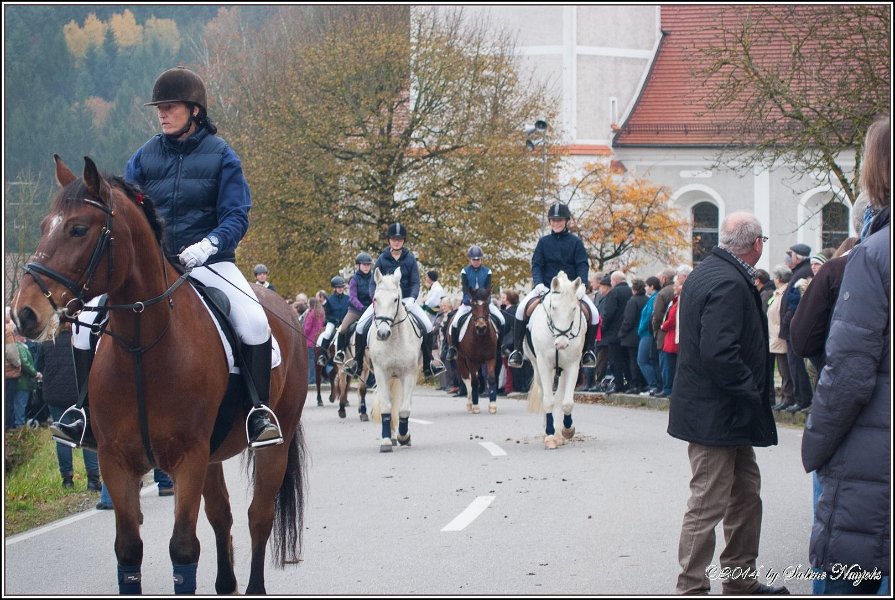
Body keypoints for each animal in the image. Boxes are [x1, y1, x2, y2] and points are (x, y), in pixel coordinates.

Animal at [10, 156, 310, 596]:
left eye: (78, 229)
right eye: (46, 224)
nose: (24, 313)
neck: (142, 347)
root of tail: (286, 309)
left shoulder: (188, 457)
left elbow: (183, 547)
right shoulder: (117, 459)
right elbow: (128, 549)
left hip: (275, 443)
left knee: (259, 516)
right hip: (212, 456)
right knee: (222, 515)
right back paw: (225, 582)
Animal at [368, 270, 424, 452]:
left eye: (395, 299)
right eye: (375, 299)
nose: (383, 333)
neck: (392, 341)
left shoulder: (409, 374)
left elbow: (404, 409)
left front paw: (404, 436)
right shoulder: (381, 373)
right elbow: (386, 407)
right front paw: (386, 441)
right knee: (391, 404)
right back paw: (392, 437)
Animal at [524, 272, 588, 450]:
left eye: (574, 309)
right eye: (553, 308)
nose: (562, 344)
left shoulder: (572, 366)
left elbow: (566, 402)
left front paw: (566, 430)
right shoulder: (544, 365)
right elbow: (547, 400)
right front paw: (550, 436)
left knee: (559, 397)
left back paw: (559, 433)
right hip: (537, 367)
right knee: (544, 394)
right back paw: (548, 430)